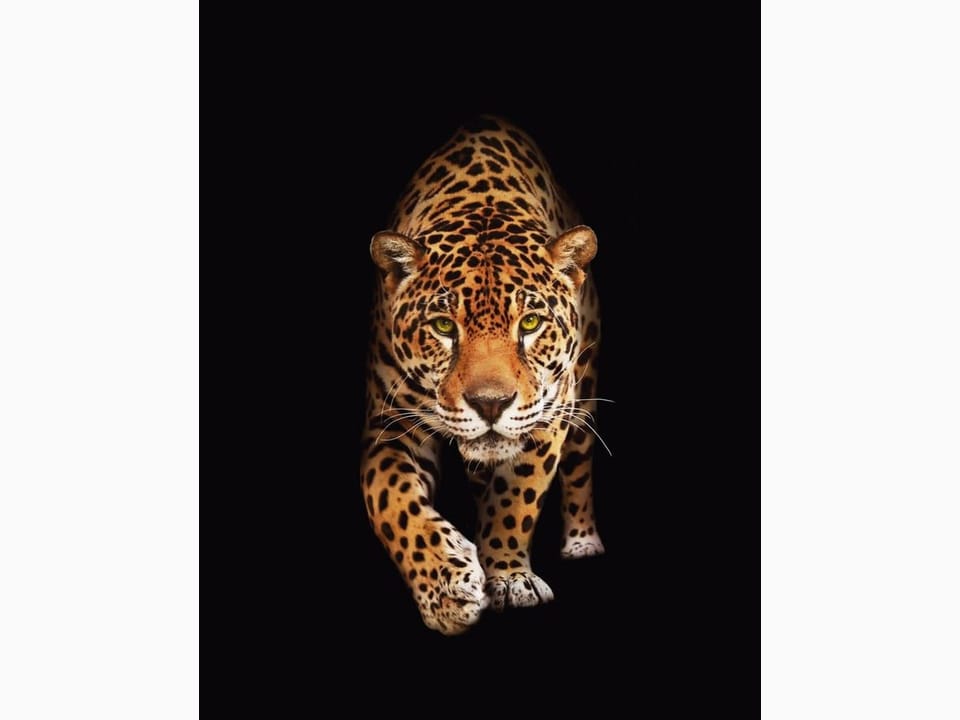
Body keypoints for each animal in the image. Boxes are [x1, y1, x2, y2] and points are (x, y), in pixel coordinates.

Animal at [360, 115, 604, 635]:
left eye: (529, 324)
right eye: (443, 326)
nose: (490, 404)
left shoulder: (550, 413)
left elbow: (516, 496)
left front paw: (509, 577)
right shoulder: (389, 425)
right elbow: (392, 501)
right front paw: (446, 590)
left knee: (578, 466)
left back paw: (582, 541)